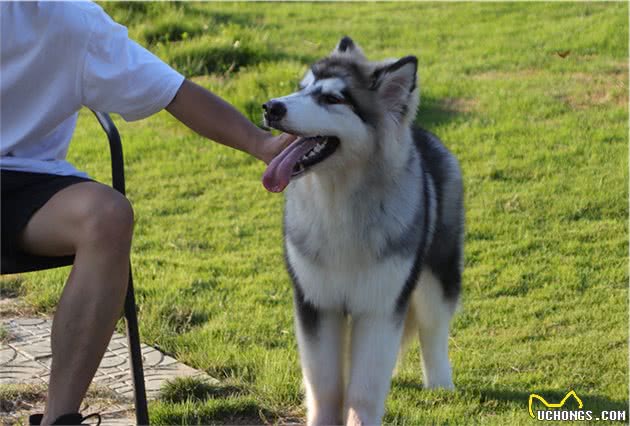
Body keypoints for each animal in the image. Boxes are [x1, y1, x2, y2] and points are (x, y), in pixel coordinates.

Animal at [262, 37, 464, 426]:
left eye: (332, 98)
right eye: (302, 88)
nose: (270, 108)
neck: (339, 203)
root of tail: (418, 132)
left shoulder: (380, 305)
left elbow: (364, 390)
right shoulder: (316, 302)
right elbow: (324, 386)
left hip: (437, 269)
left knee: (433, 327)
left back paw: (441, 384)